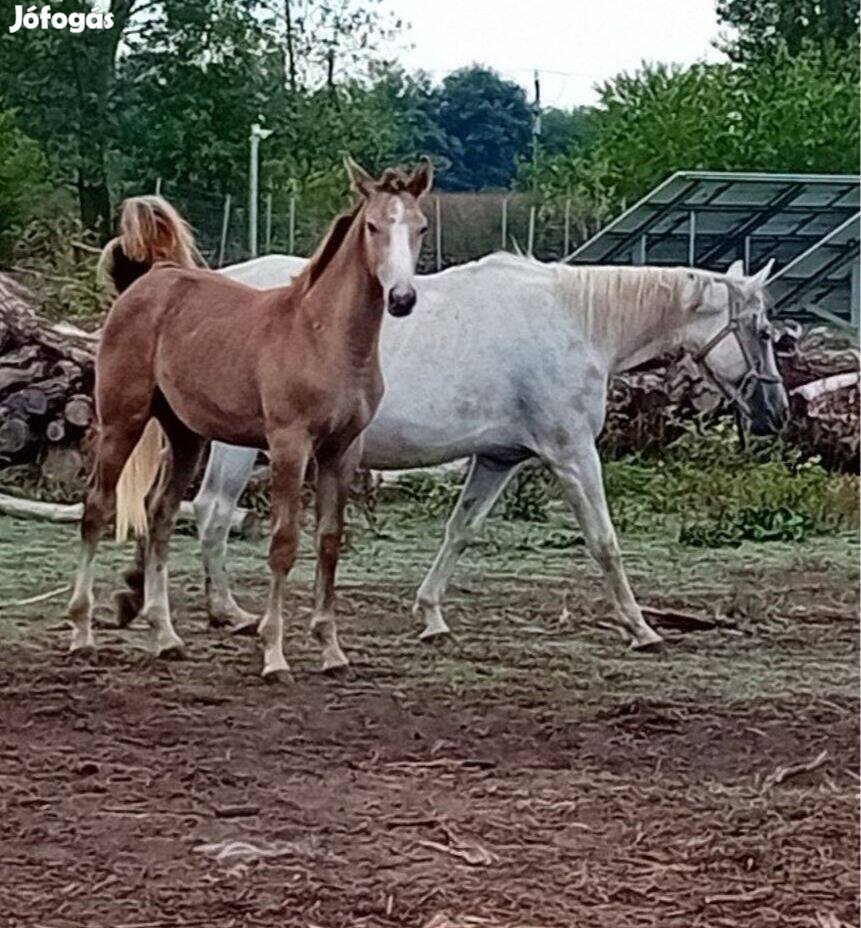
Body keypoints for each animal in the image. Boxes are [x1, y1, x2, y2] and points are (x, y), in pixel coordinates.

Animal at [68, 158, 434, 680]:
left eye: (420, 227)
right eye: (372, 225)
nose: (402, 298)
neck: (322, 337)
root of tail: (150, 279)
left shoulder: (342, 450)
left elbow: (329, 541)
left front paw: (332, 651)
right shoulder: (289, 445)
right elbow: (283, 543)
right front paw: (274, 654)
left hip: (186, 435)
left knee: (160, 514)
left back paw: (166, 636)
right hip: (124, 418)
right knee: (97, 507)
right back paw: (82, 633)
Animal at [117, 250, 788, 648]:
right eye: (761, 330)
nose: (777, 413)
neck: (575, 321)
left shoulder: (498, 459)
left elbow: (459, 531)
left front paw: (432, 614)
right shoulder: (572, 453)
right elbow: (604, 542)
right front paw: (641, 626)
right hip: (238, 445)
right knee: (212, 514)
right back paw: (228, 611)